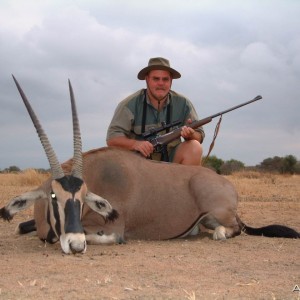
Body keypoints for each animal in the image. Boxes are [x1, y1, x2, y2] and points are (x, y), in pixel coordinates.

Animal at [1, 78, 298, 254]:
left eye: (84, 196)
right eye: (54, 196)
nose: (75, 245)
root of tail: (226, 184)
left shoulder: (112, 228)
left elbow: (108, 236)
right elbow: (22, 227)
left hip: (218, 212)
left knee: (231, 229)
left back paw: (217, 233)